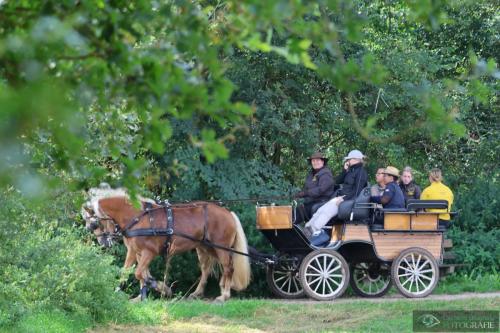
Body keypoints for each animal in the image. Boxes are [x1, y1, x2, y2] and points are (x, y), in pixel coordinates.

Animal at [83, 185, 252, 302]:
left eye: (94, 224)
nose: (103, 242)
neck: (138, 216)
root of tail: (228, 213)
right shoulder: (134, 251)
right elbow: (130, 272)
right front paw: (137, 295)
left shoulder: (149, 252)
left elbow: (138, 273)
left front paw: (159, 287)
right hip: (206, 247)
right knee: (206, 270)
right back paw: (199, 292)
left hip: (221, 248)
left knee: (228, 268)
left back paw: (224, 295)